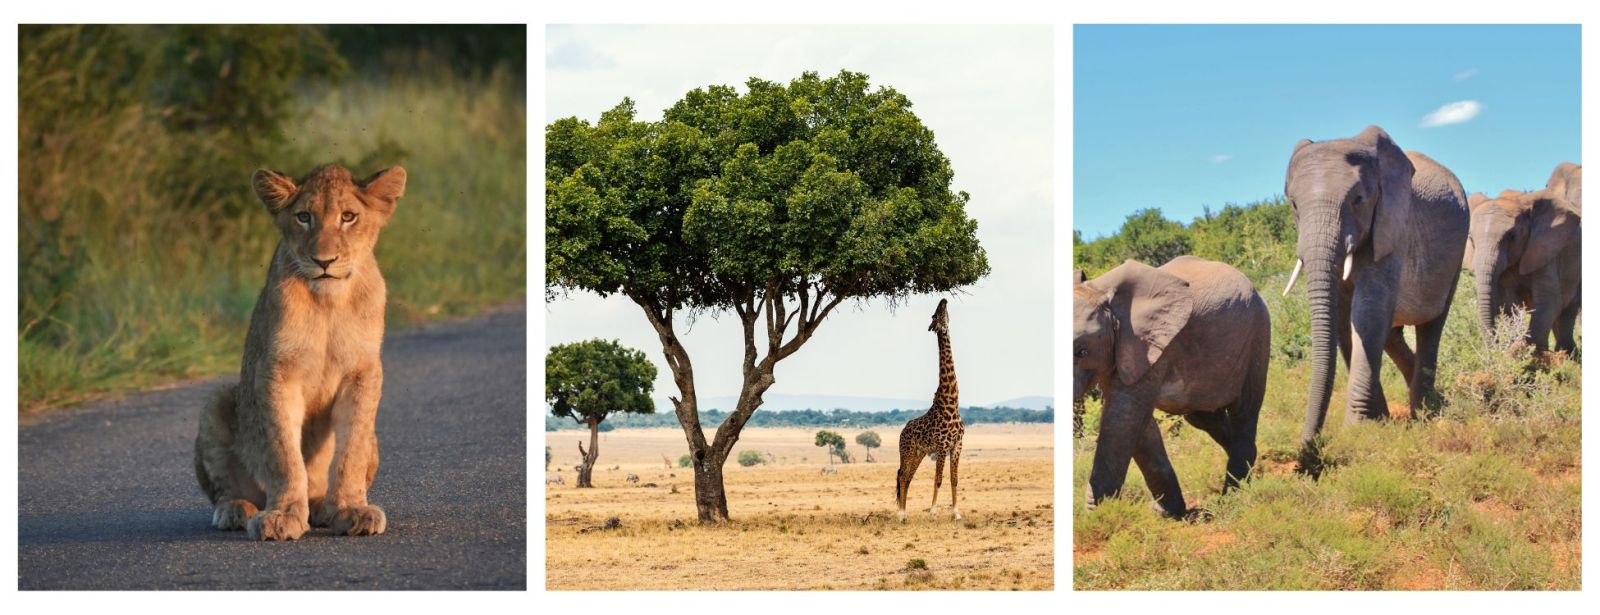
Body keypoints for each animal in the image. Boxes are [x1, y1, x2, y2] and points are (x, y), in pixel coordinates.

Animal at [194, 164, 406, 541]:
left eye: (348, 217)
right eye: (304, 217)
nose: (324, 261)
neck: (328, 304)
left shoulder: (363, 372)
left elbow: (351, 449)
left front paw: (352, 510)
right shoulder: (276, 371)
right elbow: (283, 452)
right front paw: (283, 515)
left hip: (376, 440)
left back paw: (324, 507)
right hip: (217, 401)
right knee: (226, 489)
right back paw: (236, 510)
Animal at [895, 298, 965, 522]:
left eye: (942, 311)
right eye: (935, 315)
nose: (943, 300)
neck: (951, 404)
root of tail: (902, 431)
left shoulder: (957, 446)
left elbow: (954, 479)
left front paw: (956, 513)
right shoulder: (942, 446)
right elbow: (938, 479)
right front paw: (933, 512)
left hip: (920, 452)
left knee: (908, 477)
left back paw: (905, 513)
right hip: (907, 450)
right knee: (902, 475)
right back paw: (901, 514)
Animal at [1073, 256, 1270, 518]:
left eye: (1082, 352)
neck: (1099, 289)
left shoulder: (1150, 345)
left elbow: (1123, 419)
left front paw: (1099, 516)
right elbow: (1139, 426)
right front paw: (1166, 513)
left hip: (1258, 336)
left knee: (1244, 410)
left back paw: (1231, 498)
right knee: (1203, 417)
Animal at [1281, 125, 1468, 447]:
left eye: (1358, 199)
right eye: (1293, 204)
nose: (1308, 445)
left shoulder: (1392, 225)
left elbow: (1367, 311)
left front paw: (1357, 430)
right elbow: (1344, 318)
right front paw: (1377, 422)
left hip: (1456, 251)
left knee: (1432, 324)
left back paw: (1425, 411)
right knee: (1392, 333)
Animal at [1467, 189, 1581, 354]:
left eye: (1512, 236)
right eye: (1471, 239)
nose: (1496, 348)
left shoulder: (1544, 249)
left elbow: (1549, 300)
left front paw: (1530, 354)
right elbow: (1509, 303)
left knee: (1568, 309)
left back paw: (1566, 353)